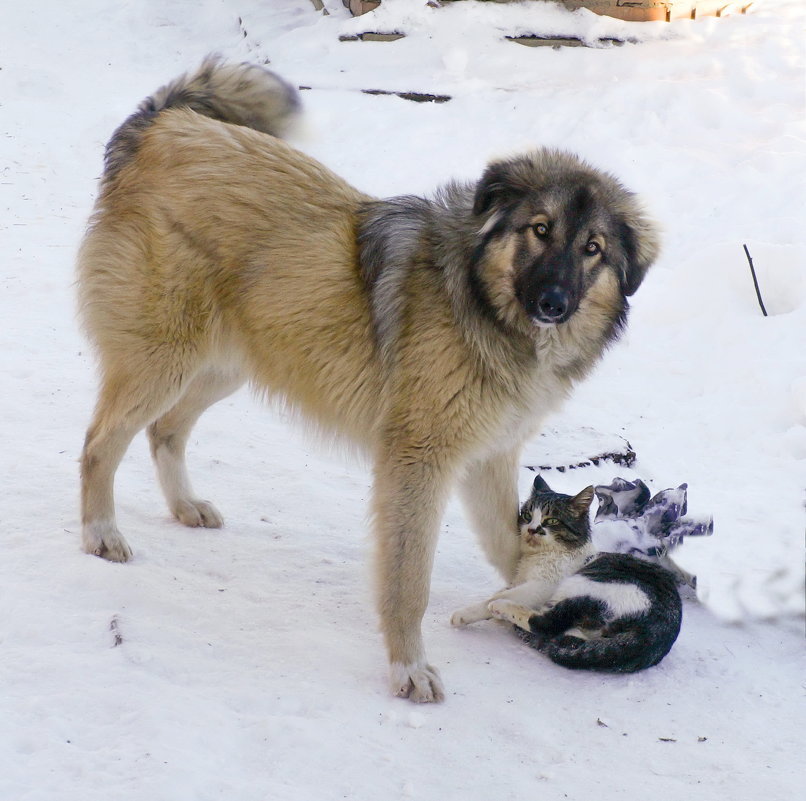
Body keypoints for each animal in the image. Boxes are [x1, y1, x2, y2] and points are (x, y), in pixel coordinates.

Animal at [76, 57, 660, 700]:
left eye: (593, 248)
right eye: (539, 228)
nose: (554, 303)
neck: (480, 305)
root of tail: (162, 126)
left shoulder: (488, 458)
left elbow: (513, 548)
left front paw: (537, 600)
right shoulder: (418, 462)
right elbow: (410, 581)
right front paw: (409, 667)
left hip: (223, 366)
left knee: (165, 432)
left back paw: (185, 506)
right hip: (165, 361)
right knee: (99, 443)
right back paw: (100, 534)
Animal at [452, 476, 684, 676]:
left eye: (552, 520)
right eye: (527, 516)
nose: (532, 530)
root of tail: (657, 632)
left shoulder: (541, 586)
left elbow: (498, 597)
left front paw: (467, 613)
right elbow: (506, 588)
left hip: (586, 583)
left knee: (546, 624)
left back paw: (502, 608)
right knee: (568, 637)